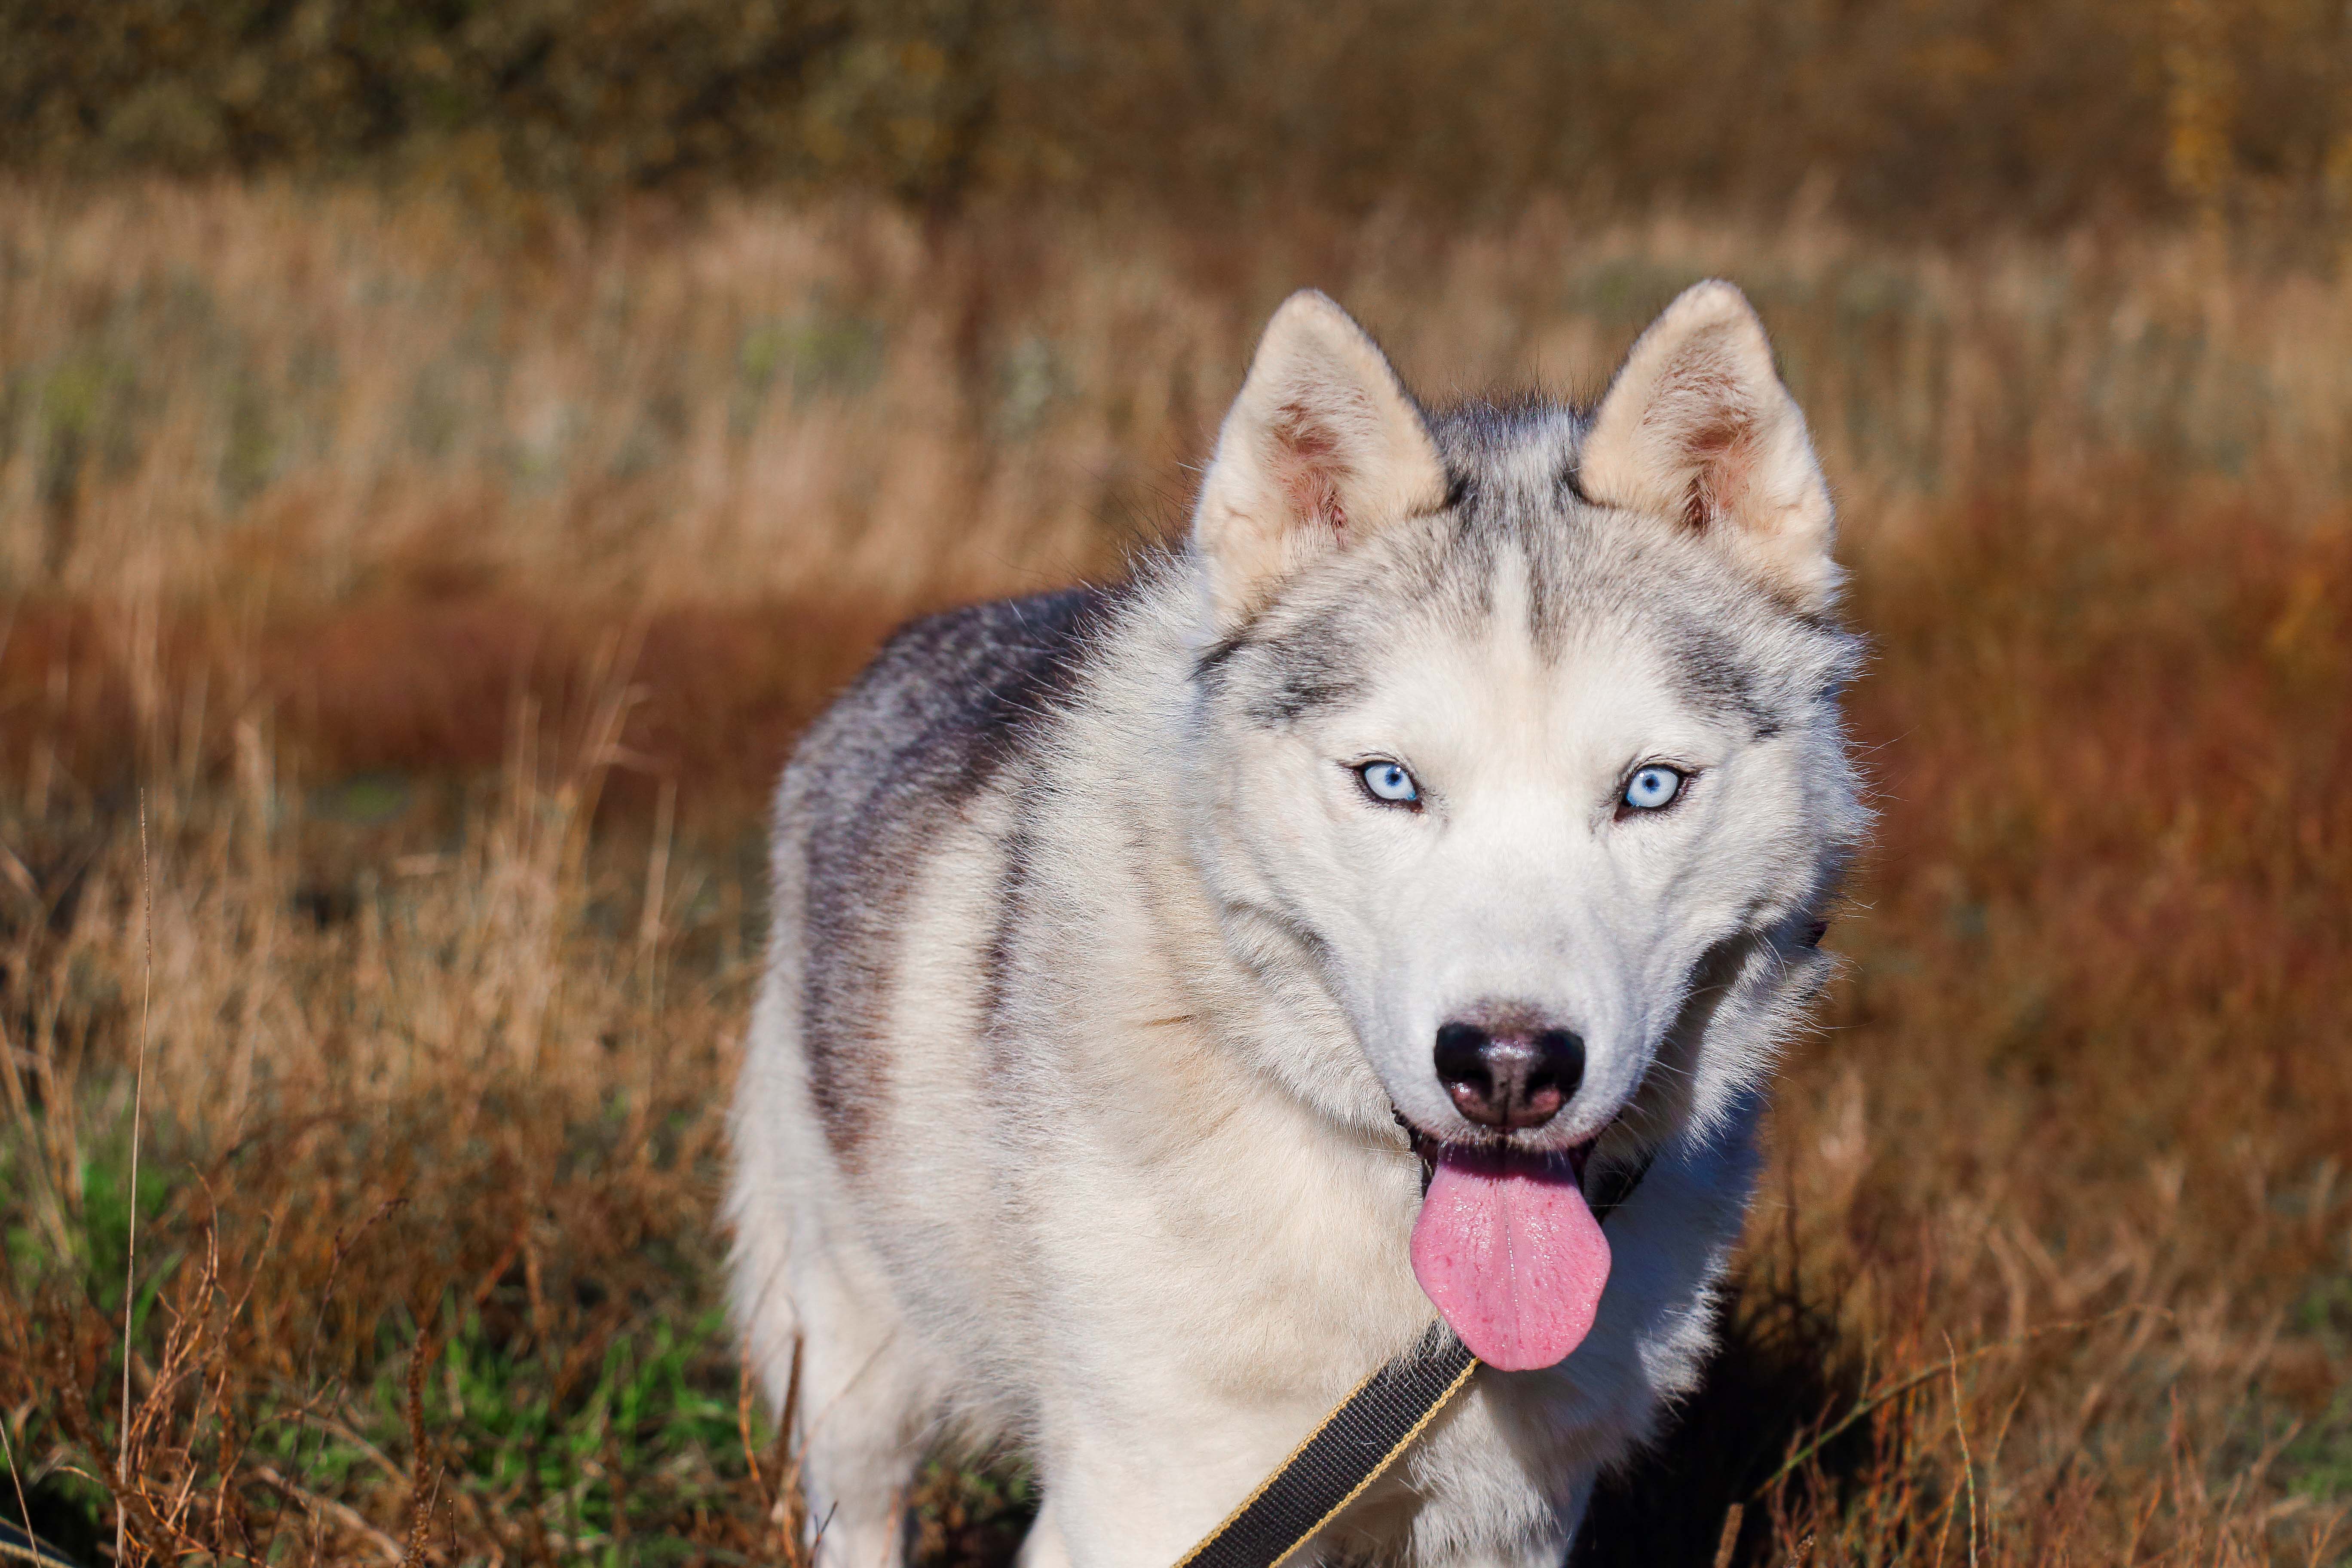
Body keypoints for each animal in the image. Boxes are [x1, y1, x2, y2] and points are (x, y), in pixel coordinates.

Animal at [724, 285, 1862, 1568]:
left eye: (1649, 789)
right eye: (1390, 783)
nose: (1507, 1068)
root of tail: (890, 658)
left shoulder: (1508, 1524)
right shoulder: (1144, 1508)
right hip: (854, 1370)